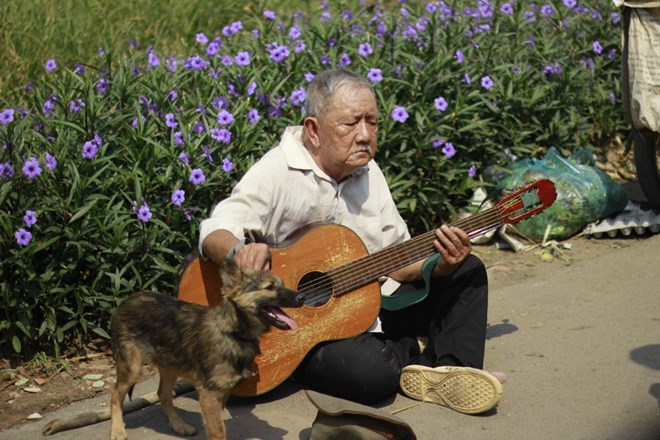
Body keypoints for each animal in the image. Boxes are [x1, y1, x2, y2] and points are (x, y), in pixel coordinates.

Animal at [109, 258, 304, 440]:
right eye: (270, 287)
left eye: (282, 283)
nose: (302, 297)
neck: (232, 333)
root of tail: (126, 300)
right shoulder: (209, 393)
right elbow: (218, 431)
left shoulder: (222, 392)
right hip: (132, 367)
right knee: (115, 394)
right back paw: (118, 431)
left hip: (171, 364)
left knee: (163, 394)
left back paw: (179, 424)